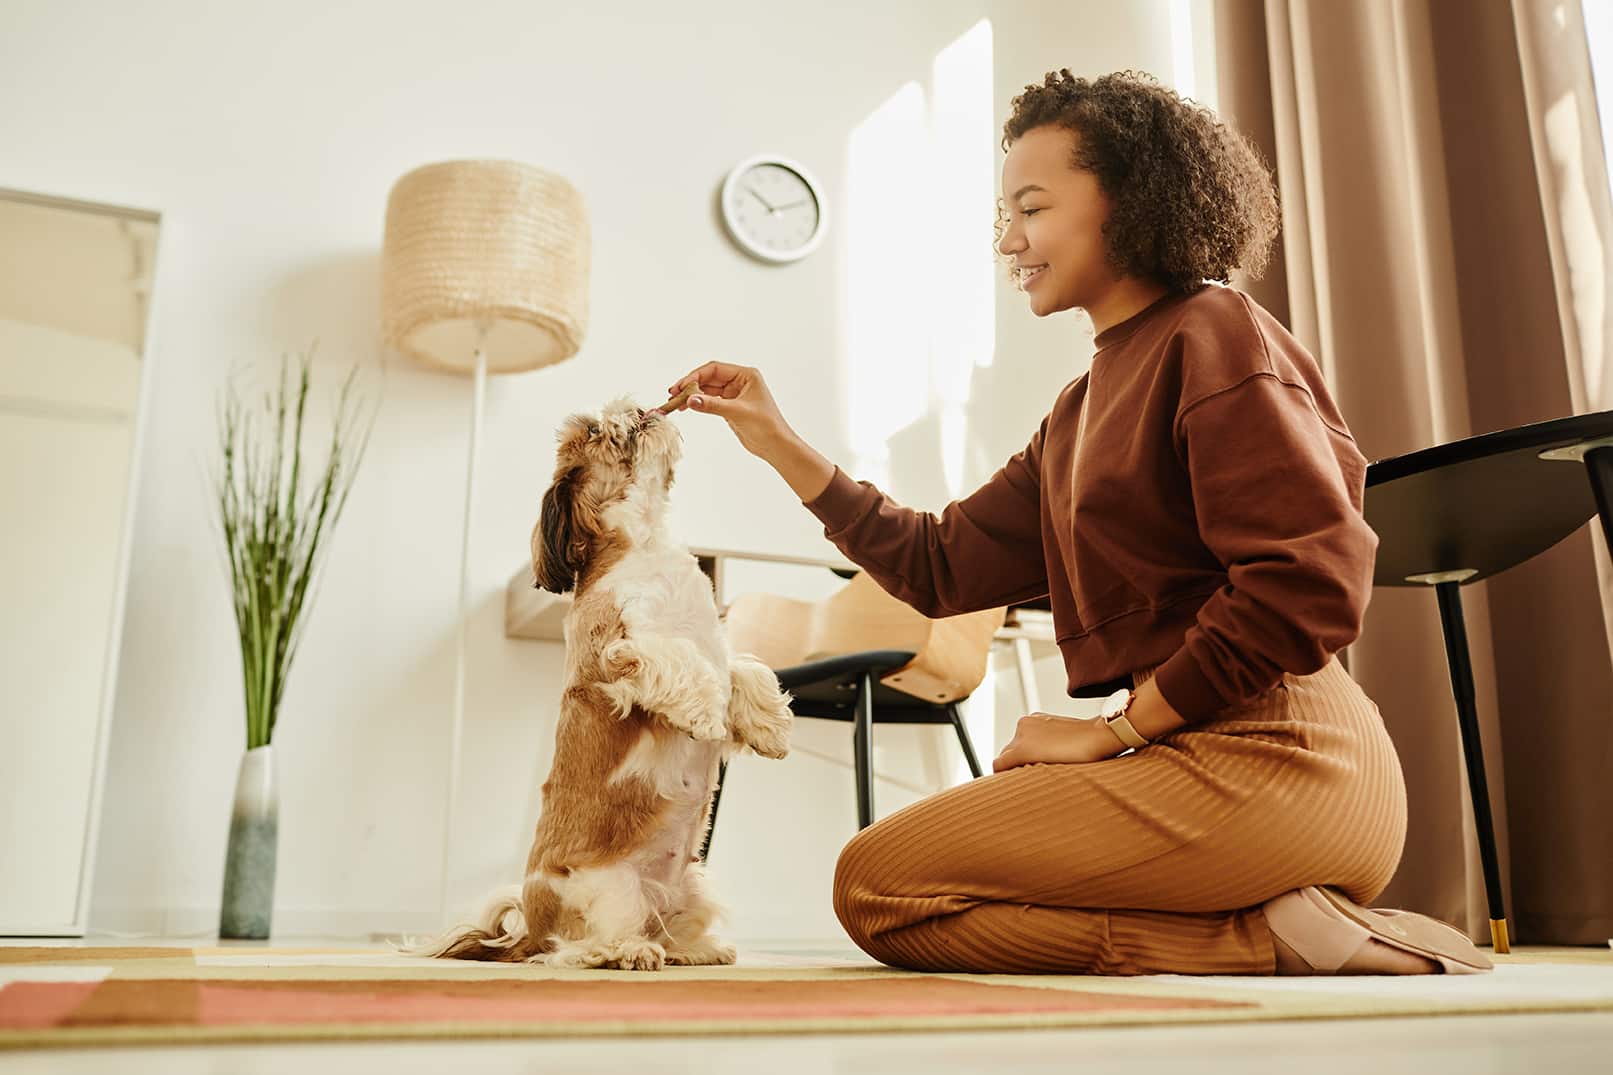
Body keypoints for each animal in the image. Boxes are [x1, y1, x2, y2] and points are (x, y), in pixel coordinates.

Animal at [409, 397, 793, 968]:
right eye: (594, 430)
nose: (633, 406)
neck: (648, 545)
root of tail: (530, 927)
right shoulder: (619, 656)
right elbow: (679, 660)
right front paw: (706, 714)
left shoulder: (719, 647)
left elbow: (746, 669)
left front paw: (770, 728)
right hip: (609, 890)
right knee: (581, 947)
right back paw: (631, 952)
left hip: (695, 883)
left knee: (667, 932)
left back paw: (695, 950)